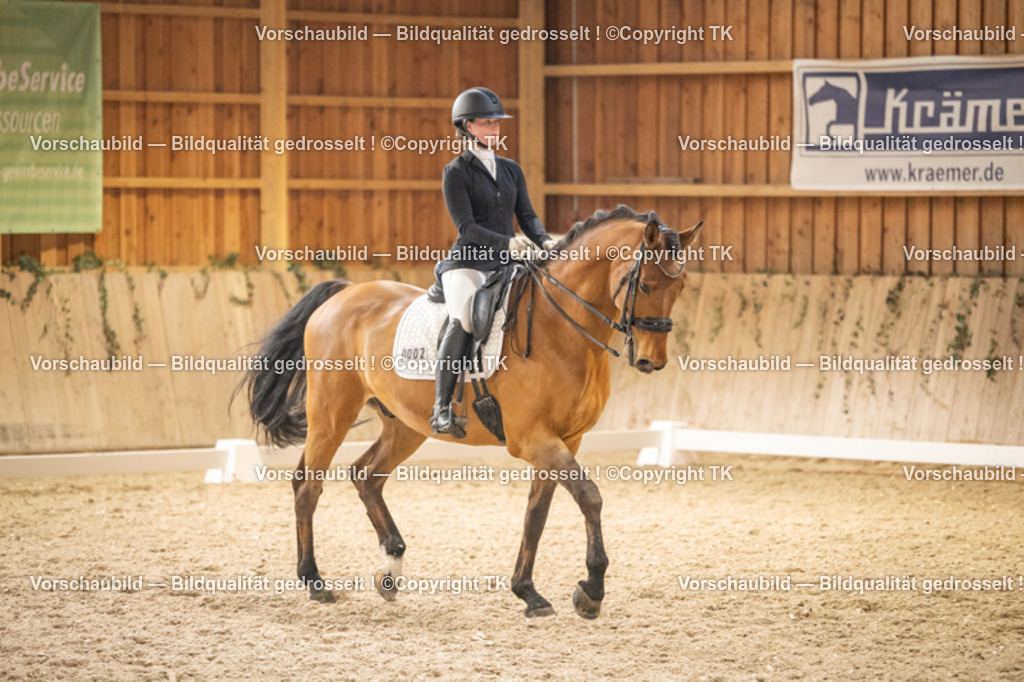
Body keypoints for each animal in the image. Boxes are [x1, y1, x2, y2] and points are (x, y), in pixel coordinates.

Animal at [239, 205, 703, 618]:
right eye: (645, 285)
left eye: (679, 288)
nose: (651, 361)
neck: (561, 328)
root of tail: (344, 294)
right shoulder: (534, 439)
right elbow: (589, 497)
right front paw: (590, 590)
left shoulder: (565, 440)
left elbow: (537, 514)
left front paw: (528, 593)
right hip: (332, 414)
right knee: (308, 486)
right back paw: (315, 581)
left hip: (406, 424)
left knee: (366, 475)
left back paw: (391, 568)